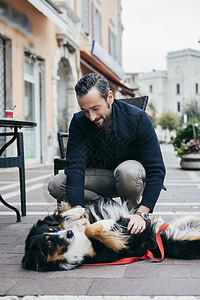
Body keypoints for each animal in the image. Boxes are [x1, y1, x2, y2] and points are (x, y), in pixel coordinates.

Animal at [21, 198, 200, 270]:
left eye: (54, 230)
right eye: (49, 243)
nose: (70, 233)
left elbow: (68, 214)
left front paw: (77, 210)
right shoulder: (108, 251)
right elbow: (91, 230)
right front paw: (109, 226)